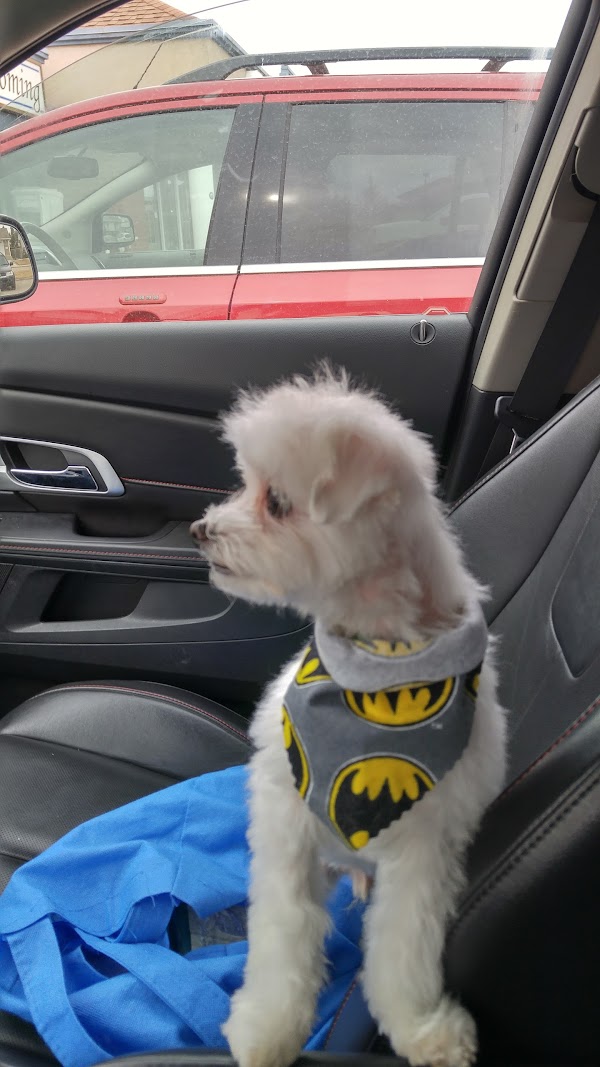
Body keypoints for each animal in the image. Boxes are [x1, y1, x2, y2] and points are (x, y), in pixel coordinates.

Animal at [190, 368, 506, 1067]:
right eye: (246, 482)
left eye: (277, 502)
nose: (201, 529)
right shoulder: (286, 822)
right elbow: (285, 932)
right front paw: (268, 1029)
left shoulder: (427, 845)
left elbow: (404, 945)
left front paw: (423, 1030)